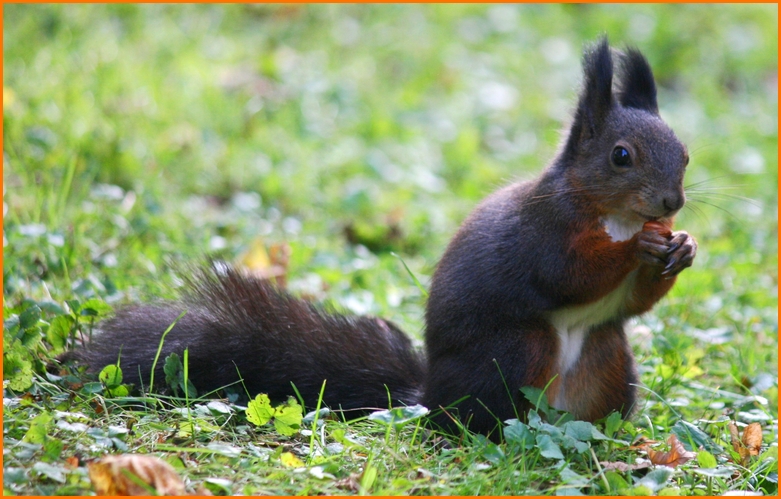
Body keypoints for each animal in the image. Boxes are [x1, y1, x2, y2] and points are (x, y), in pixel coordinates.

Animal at [62, 38, 696, 438]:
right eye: (621, 156)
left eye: (685, 154)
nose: (672, 204)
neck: (614, 213)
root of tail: (430, 396)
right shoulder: (546, 230)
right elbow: (570, 274)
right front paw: (636, 250)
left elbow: (633, 303)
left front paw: (681, 248)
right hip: (520, 351)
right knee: (480, 417)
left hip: (607, 359)